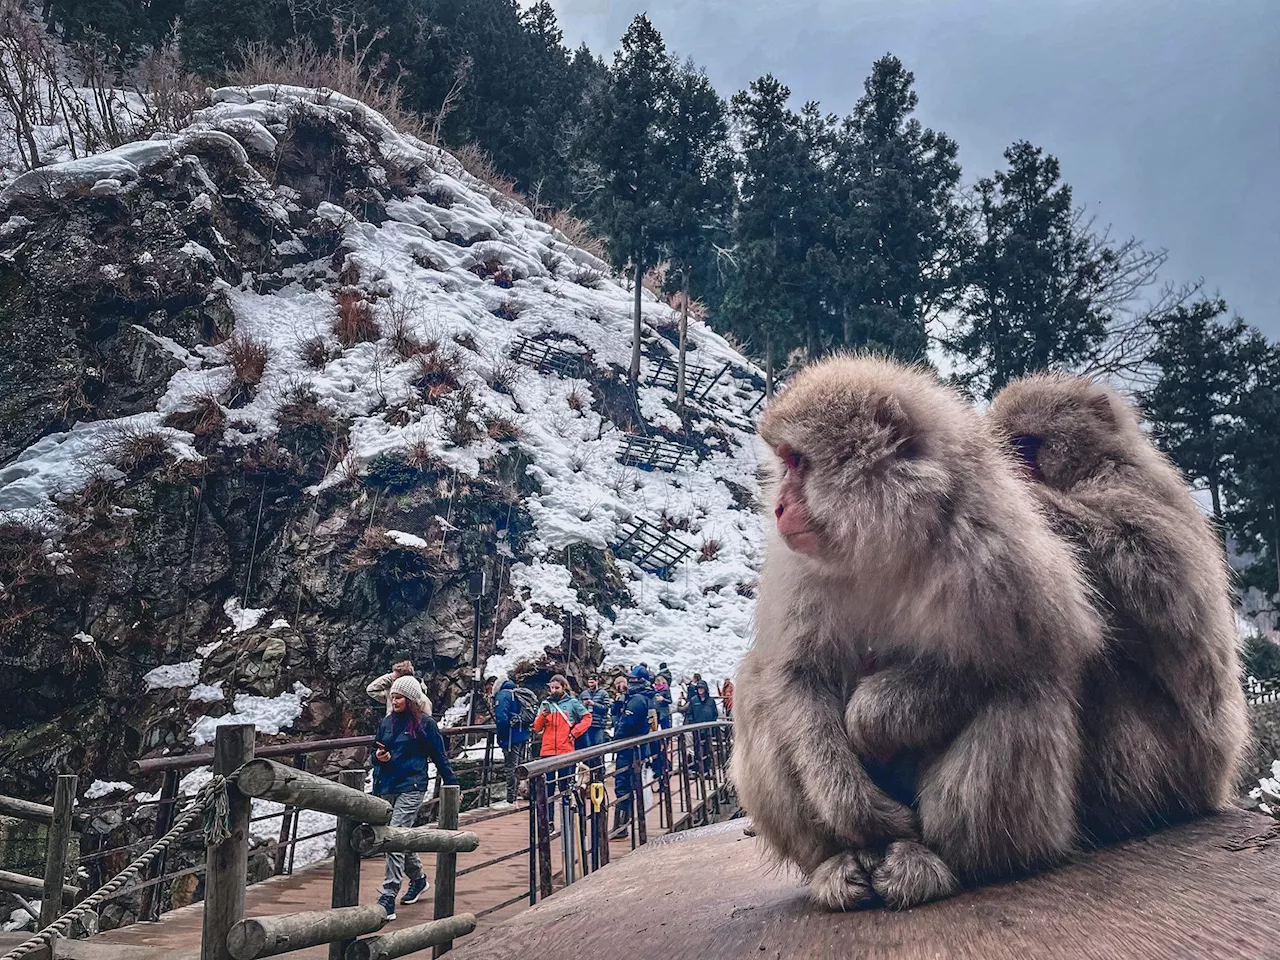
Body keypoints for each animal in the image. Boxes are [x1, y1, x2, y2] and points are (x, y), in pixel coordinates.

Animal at [737, 358, 1105, 911]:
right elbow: (797, 676)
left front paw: (871, 719)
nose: (779, 506)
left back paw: (937, 863)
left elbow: (1021, 657)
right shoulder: (798, 570)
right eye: (785, 463)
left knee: (1025, 694)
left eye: (798, 461)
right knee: (755, 691)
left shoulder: (994, 551)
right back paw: (840, 861)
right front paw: (853, 808)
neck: (882, 542)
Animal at [988, 371, 1249, 844]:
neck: (1089, 469)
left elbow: (1163, 579)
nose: (1015, 470)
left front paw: (1033, 498)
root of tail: (1215, 785)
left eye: (1025, 446)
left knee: (1104, 669)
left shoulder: (1127, 483)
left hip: (1182, 763)